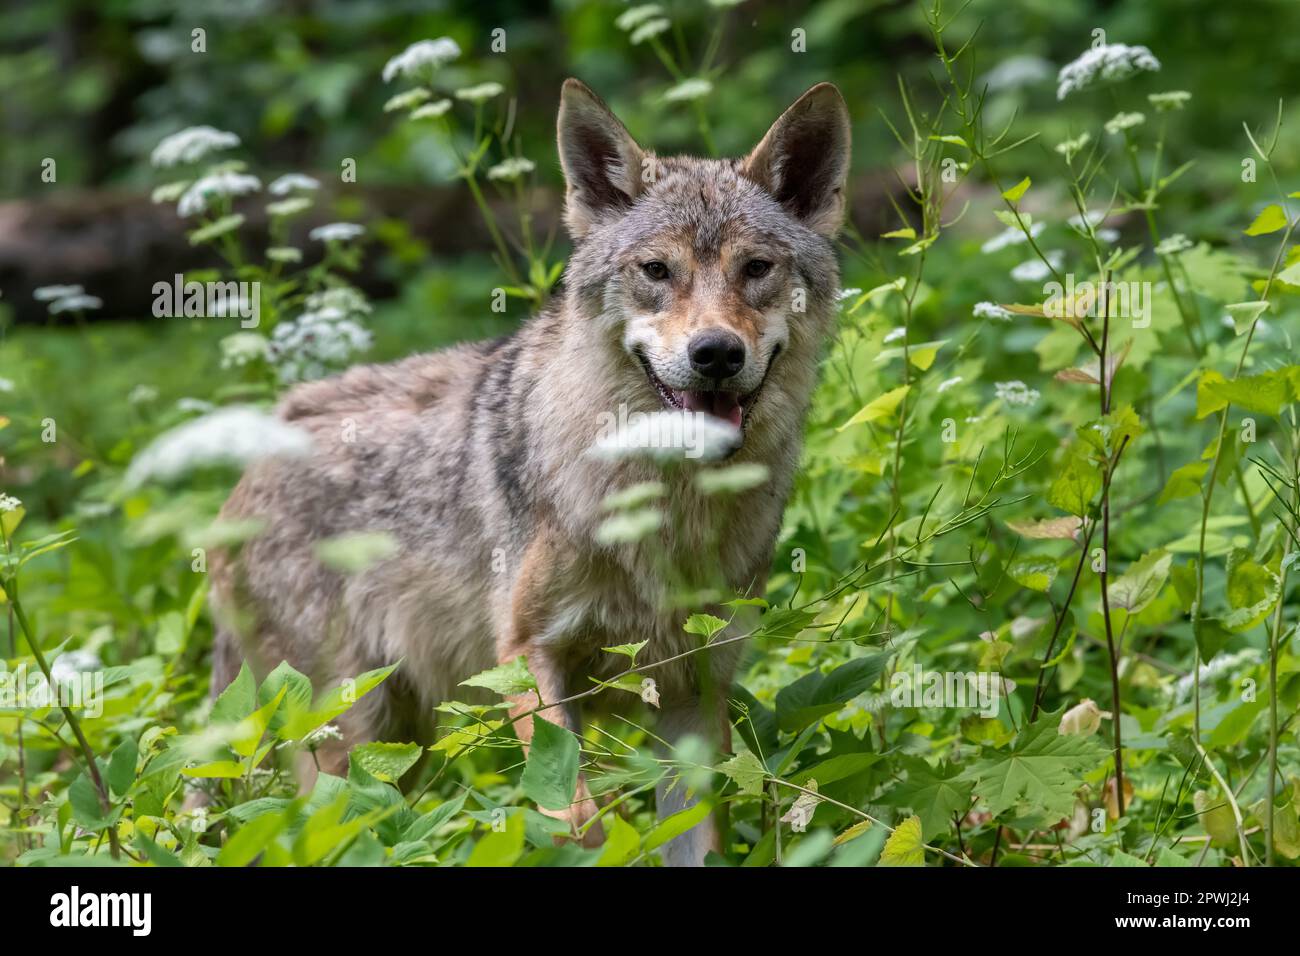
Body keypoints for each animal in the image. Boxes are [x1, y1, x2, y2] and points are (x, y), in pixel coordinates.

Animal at [209, 78, 851, 866]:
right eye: (656, 271)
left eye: (756, 269)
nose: (716, 353)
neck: (663, 509)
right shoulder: (526, 661)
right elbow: (581, 820)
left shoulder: (695, 692)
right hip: (351, 744)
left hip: (401, 748)